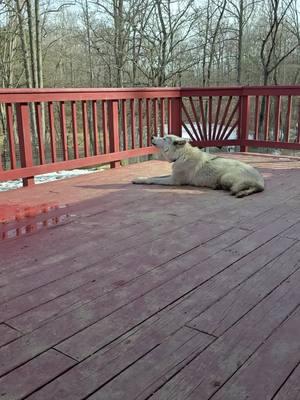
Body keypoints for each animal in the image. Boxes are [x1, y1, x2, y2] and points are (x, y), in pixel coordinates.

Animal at [132, 134, 264, 198]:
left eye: (164, 138)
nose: (152, 136)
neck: (181, 154)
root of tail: (261, 181)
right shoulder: (172, 175)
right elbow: (157, 176)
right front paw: (139, 178)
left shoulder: (173, 180)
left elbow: (152, 179)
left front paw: (139, 180)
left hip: (225, 177)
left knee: (250, 188)